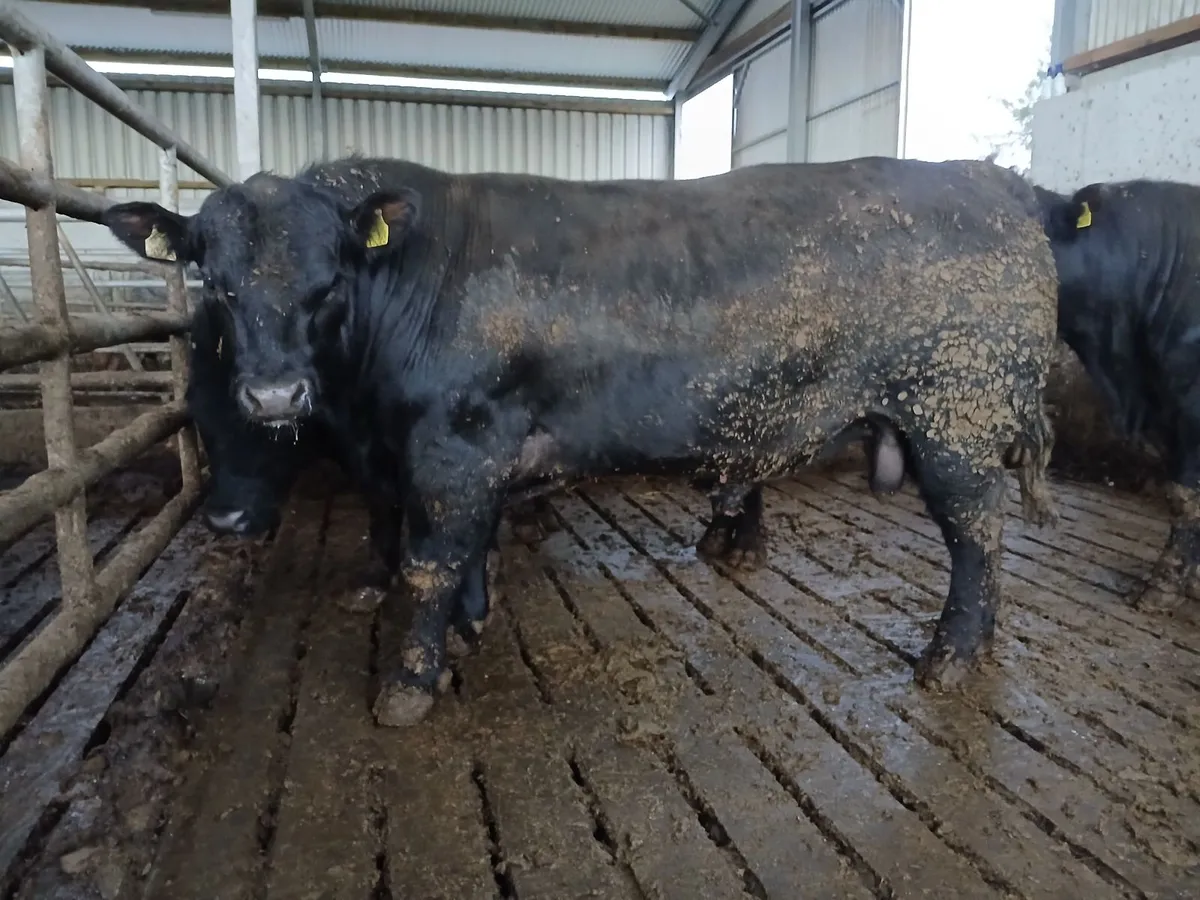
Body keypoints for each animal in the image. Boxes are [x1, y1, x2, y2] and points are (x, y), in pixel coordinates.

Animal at [101, 155, 1060, 728]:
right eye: (215, 281)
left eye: (327, 278)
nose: (272, 393)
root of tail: (992, 182)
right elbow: (457, 552)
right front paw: (468, 625)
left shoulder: (455, 447)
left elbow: (428, 562)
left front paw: (409, 684)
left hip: (958, 421)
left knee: (978, 537)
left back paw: (951, 658)